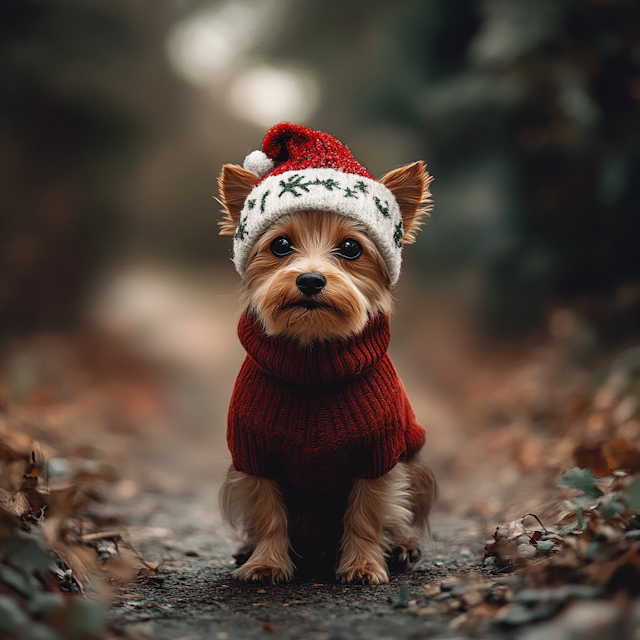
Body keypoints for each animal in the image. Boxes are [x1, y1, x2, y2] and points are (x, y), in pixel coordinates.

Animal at [218, 122, 438, 584]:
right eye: (280, 245)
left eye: (351, 248)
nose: (310, 280)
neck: (313, 362)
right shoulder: (253, 454)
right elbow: (268, 512)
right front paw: (266, 563)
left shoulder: (378, 454)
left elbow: (368, 512)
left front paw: (362, 565)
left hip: (417, 465)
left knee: (400, 514)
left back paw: (402, 546)